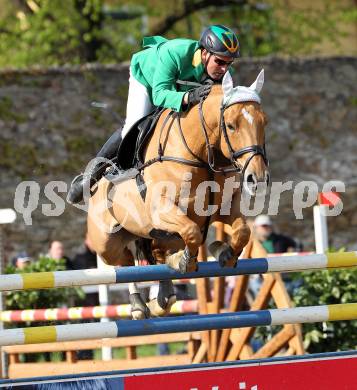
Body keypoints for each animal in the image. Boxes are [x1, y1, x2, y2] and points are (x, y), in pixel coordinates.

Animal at [87, 70, 268, 318]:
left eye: (264, 122)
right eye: (231, 126)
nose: (257, 178)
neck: (201, 155)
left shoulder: (224, 208)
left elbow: (242, 232)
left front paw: (223, 252)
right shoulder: (162, 212)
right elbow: (191, 233)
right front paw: (184, 262)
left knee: (154, 254)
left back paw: (161, 299)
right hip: (107, 243)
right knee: (125, 264)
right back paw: (138, 305)